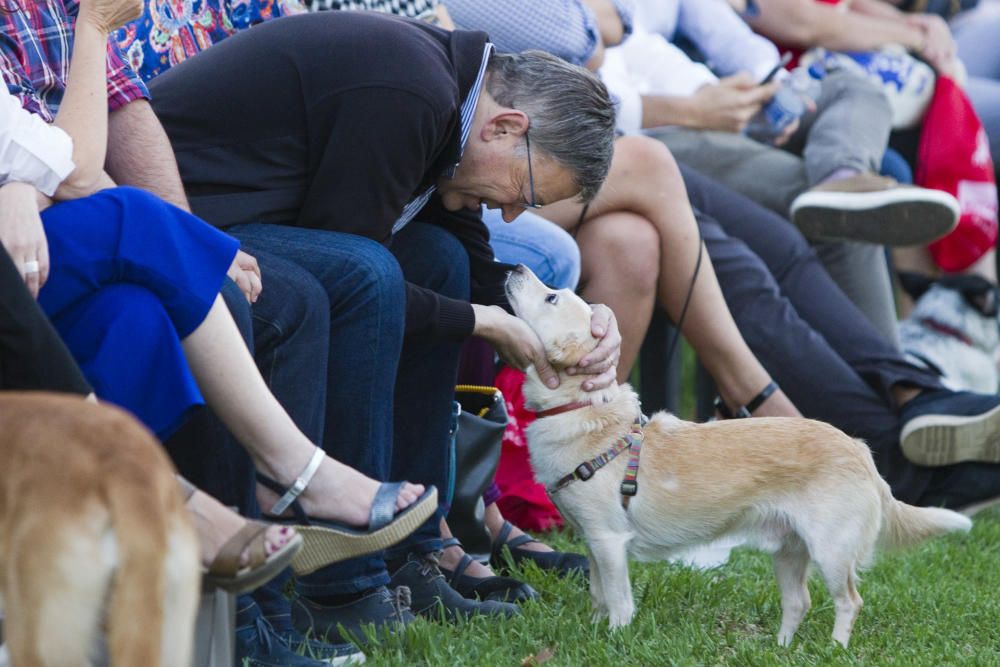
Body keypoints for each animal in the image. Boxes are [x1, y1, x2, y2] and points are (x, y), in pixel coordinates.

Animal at [504, 264, 972, 648]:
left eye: (552, 297)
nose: (515, 265)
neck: (583, 411)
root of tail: (859, 451)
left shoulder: (608, 540)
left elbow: (618, 600)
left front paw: (615, 639)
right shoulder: (593, 543)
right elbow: (598, 595)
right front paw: (594, 629)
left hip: (831, 551)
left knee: (849, 601)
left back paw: (836, 650)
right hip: (789, 551)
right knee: (799, 601)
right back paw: (781, 649)